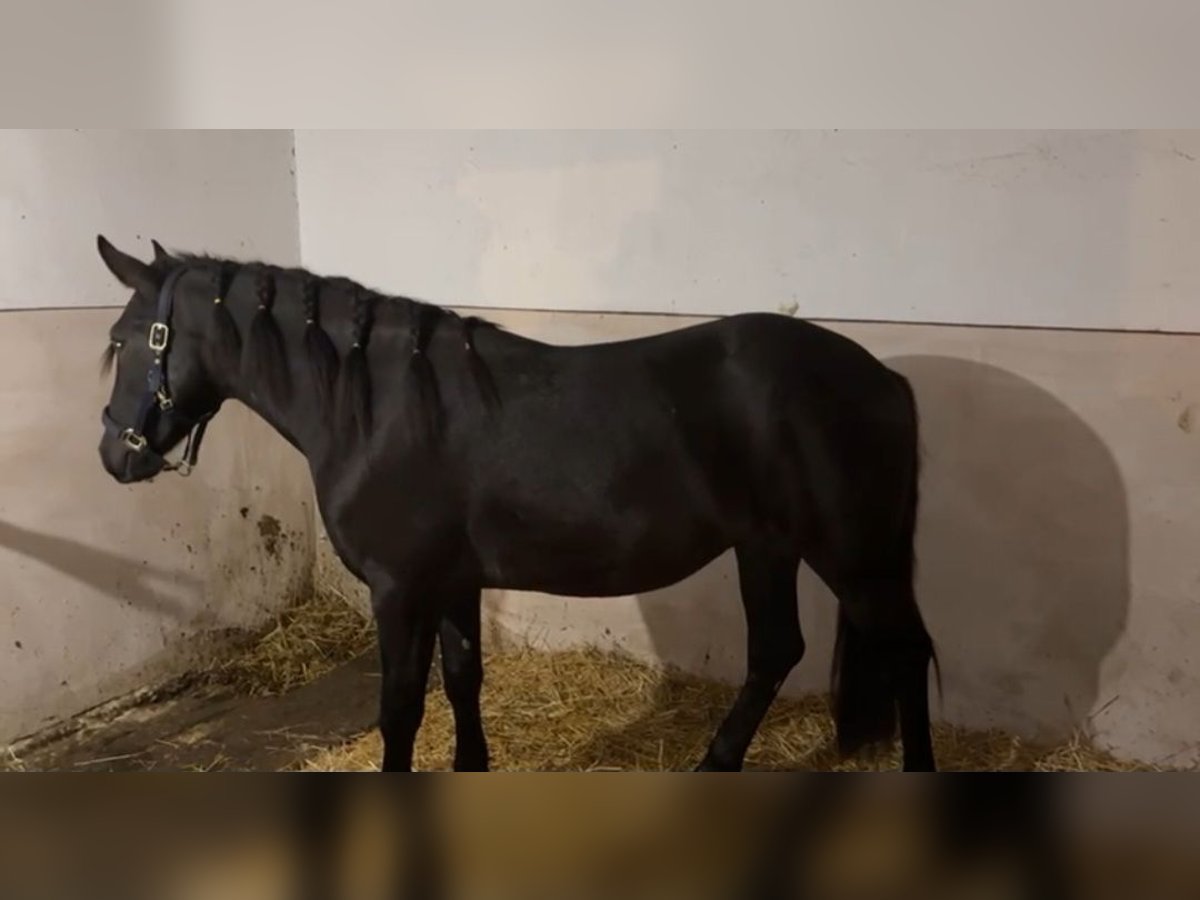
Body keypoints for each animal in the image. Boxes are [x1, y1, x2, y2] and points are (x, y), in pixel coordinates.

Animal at [95, 234, 939, 772]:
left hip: (850, 557)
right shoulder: (452, 582)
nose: (113, 455)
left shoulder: (400, 590)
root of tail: (885, 379)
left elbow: (401, 708)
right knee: (777, 653)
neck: (382, 410)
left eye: (130, 337)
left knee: (902, 653)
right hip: (769, 547)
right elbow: (464, 679)